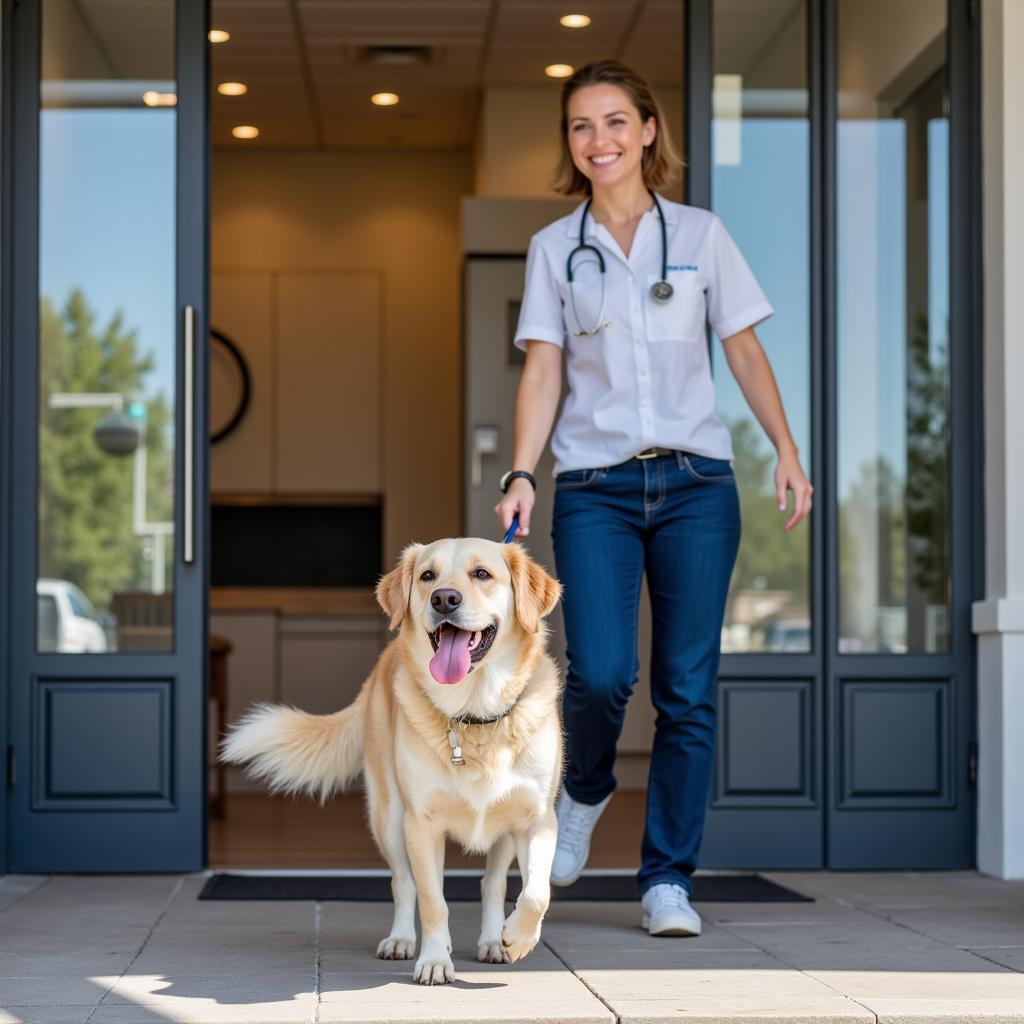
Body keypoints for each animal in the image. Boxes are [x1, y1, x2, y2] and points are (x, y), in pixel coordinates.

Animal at [220, 540, 565, 987]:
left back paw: (493, 940)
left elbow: (537, 892)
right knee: (405, 883)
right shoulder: (421, 822)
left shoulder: (537, 819)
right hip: (388, 817)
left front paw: (518, 938)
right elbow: (432, 899)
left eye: (482, 575)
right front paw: (434, 959)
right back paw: (403, 939)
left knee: (491, 884)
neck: (473, 713)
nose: (444, 599)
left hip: (501, 832)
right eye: (428, 576)